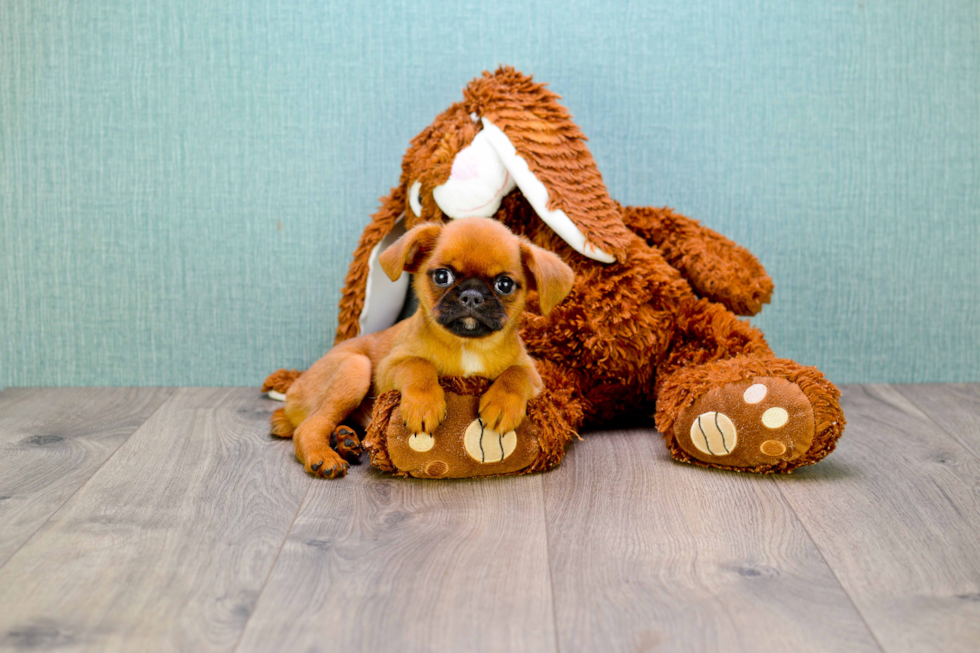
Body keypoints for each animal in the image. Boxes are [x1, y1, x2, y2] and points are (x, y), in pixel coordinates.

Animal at [270, 216, 576, 476]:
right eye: (442, 276)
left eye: (504, 284)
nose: (472, 295)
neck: (467, 346)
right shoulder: (387, 369)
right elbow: (418, 364)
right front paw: (424, 405)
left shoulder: (533, 375)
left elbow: (515, 375)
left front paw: (502, 405)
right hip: (355, 370)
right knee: (308, 427)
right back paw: (324, 456)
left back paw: (346, 440)